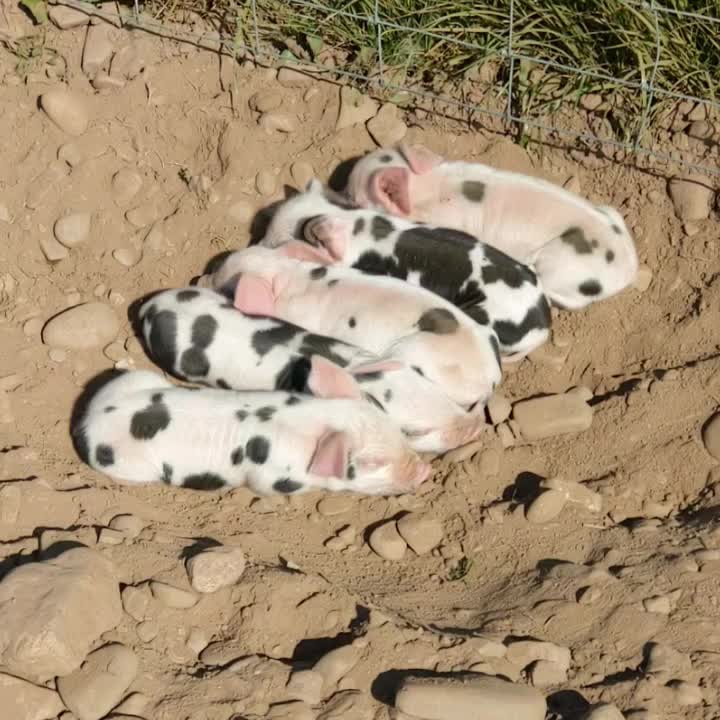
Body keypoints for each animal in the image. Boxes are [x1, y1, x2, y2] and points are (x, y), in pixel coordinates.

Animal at [72, 368, 430, 496]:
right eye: (373, 463)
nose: (426, 470)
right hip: (132, 466)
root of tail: (88, 420)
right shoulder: (270, 478)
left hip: (135, 378)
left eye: (397, 430)